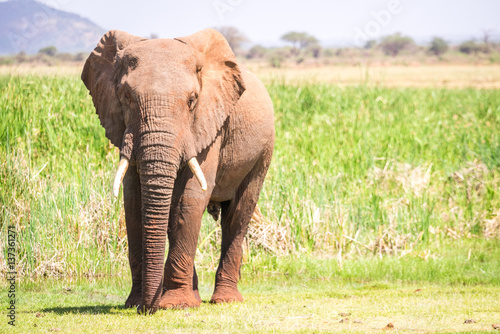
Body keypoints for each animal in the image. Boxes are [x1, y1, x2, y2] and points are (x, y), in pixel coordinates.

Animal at [83, 28, 278, 314]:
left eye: (192, 101)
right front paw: (136, 303)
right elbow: (134, 200)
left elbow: (190, 198)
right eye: (126, 97)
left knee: (238, 214)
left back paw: (225, 300)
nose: (147, 309)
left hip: (263, 152)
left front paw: (174, 305)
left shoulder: (209, 125)